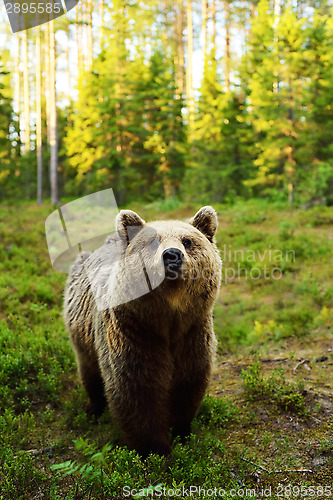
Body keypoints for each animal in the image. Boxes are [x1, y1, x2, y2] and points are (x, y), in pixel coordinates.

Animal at [63, 206, 222, 458]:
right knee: (89, 369)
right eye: (152, 242)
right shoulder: (133, 334)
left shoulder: (192, 333)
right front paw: (154, 449)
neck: (168, 319)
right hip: (82, 330)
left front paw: (181, 432)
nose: (172, 255)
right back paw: (94, 408)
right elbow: (136, 391)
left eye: (187, 241)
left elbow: (188, 382)